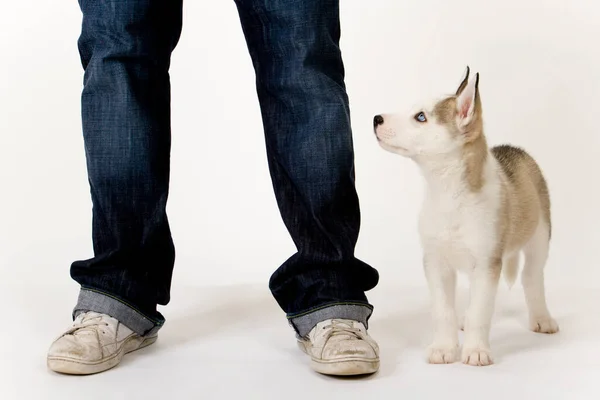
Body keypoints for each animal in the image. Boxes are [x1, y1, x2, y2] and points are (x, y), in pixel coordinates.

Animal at [372, 68, 560, 366]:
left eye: (421, 117)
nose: (376, 118)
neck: (448, 193)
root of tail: (516, 149)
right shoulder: (435, 263)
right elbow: (443, 311)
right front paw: (444, 348)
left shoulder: (486, 263)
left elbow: (480, 312)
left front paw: (476, 350)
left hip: (539, 237)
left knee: (531, 278)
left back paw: (542, 318)